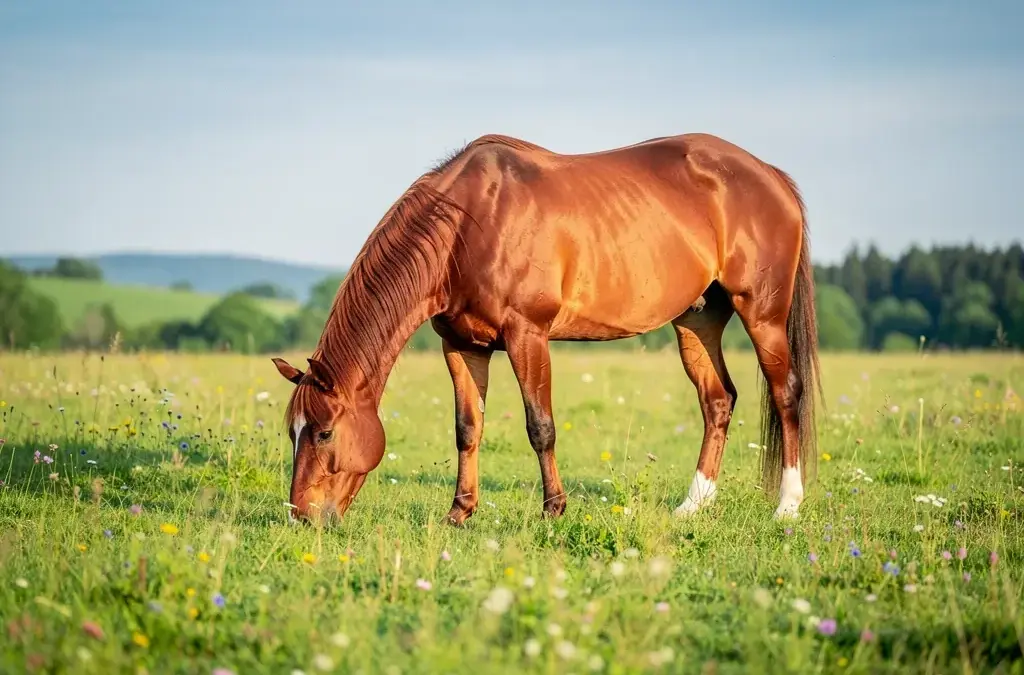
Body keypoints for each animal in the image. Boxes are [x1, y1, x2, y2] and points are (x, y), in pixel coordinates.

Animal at [272, 131, 821, 525]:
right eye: (291, 432)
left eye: (323, 432)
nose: (302, 517)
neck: (469, 224)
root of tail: (771, 175)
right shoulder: (462, 345)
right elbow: (467, 429)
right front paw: (459, 512)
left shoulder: (527, 335)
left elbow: (541, 426)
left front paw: (553, 509)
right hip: (698, 319)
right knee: (718, 400)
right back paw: (695, 504)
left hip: (762, 314)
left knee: (786, 394)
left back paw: (788, 505)